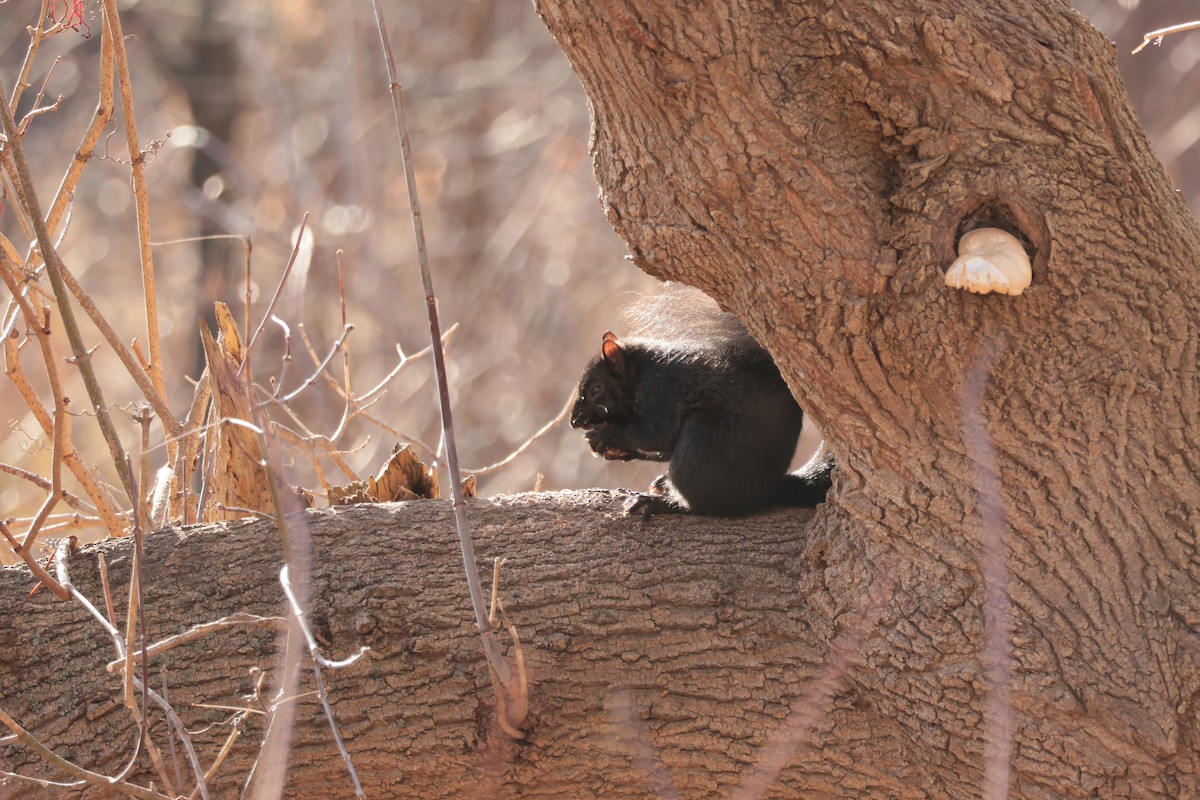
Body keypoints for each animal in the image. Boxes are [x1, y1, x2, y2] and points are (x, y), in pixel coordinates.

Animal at [570, 286, 833, 516]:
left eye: (595, 389)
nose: (574, 422)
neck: (640, 371)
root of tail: (768, 490)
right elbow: (661, 448)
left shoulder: (660, 390)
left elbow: (656, 434)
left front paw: (606, 436)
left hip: (700, 443)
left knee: (705, 505)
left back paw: (661, 503)